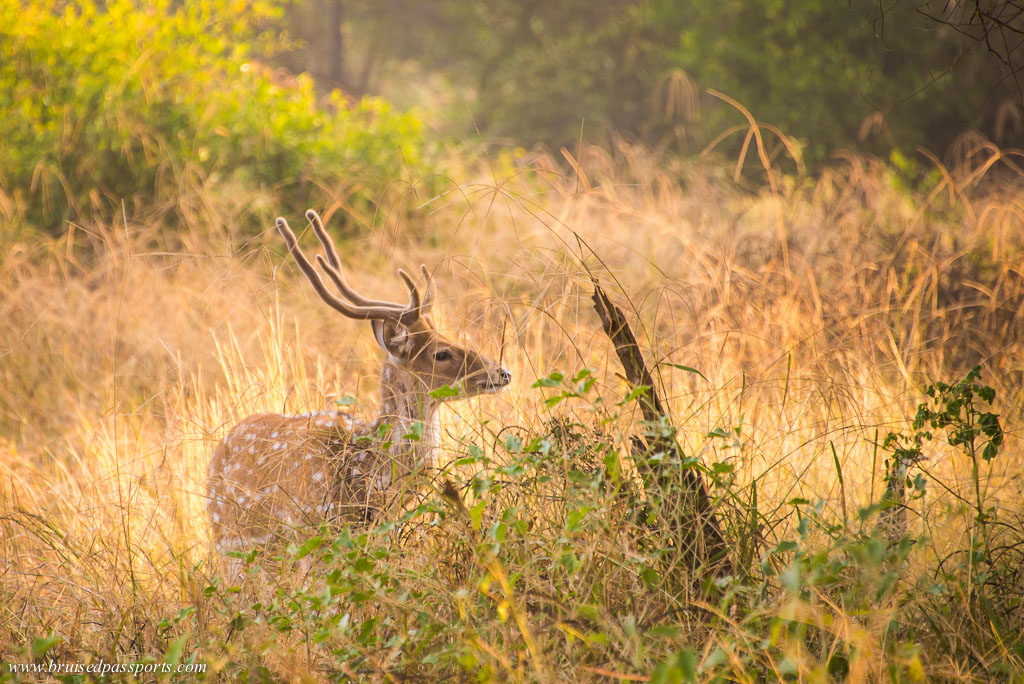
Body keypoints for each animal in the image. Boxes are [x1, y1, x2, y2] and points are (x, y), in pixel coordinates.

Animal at [207, 210, 512, 557]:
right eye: (441, 354)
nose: (502, 372)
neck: (369, 477)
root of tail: (216, 453)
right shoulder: (309, 526)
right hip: (232, 541)